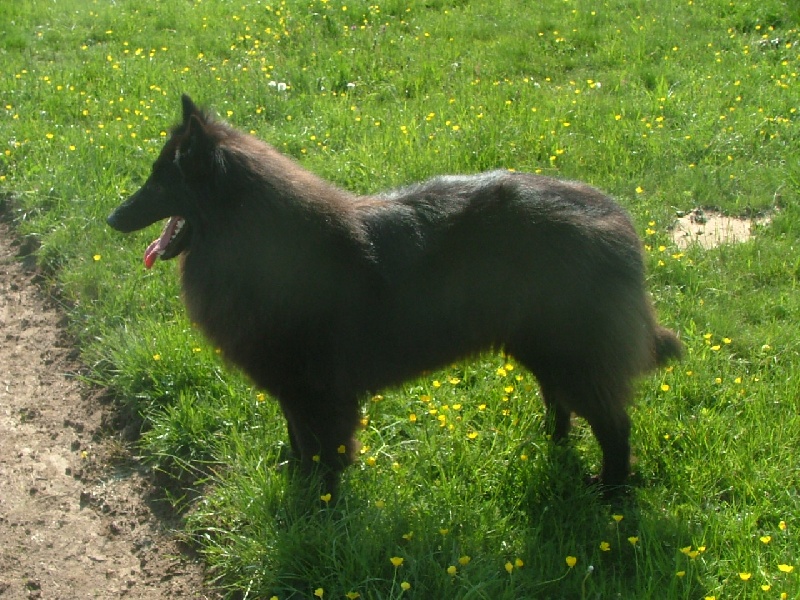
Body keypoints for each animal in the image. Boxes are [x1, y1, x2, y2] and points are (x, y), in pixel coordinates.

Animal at [108, 95, 682, 494]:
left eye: (160, 182)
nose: (112, 217)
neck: (258, 240)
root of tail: (617, 220)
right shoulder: (293, 390)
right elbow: (298, 444)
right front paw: (295, 490)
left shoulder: (318, 393)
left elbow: (322, 455)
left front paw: (317, 512)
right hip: (541, 347)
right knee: (559, 400)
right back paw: (551, 444)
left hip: (573, 354)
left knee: (615, 425)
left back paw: (611, 492)